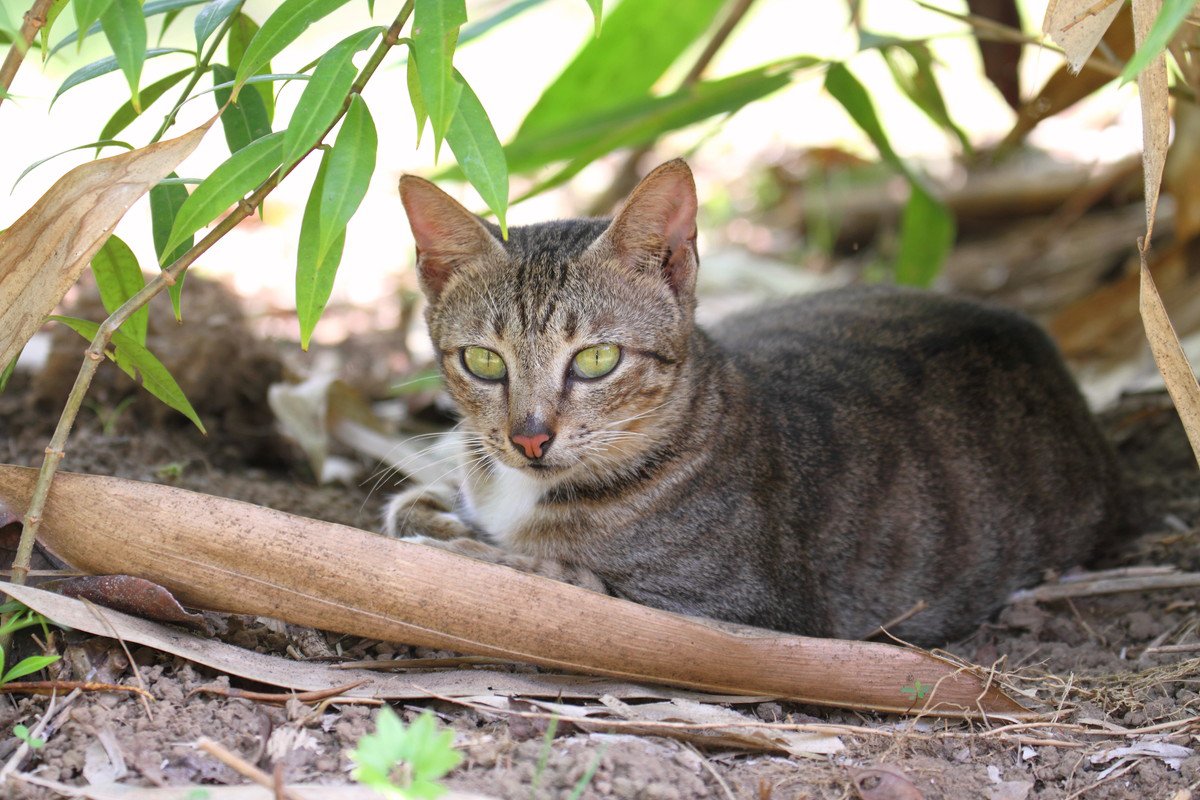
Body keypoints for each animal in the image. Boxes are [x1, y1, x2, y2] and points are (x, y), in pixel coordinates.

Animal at [386, 159, 1123, 647]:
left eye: (597, 360)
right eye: (483, 361)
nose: (530, 437)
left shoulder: (738, 615)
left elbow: (554, 578)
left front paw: (467, 554)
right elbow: (413, 509)